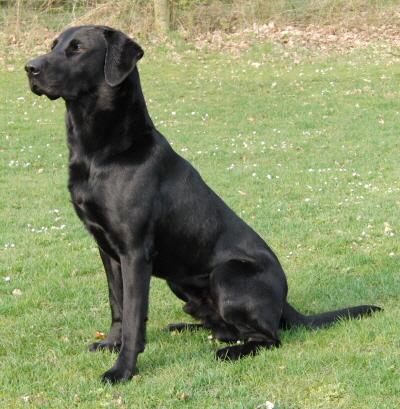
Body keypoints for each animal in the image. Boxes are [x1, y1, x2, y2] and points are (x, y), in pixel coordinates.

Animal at [25, 25, 382, 382]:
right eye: (53, 45)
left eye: (78, 48)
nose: (29, 68)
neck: (101, 152)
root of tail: (285, 300)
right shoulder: (106, 248)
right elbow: (118, 306)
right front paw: (111, 344)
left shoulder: (135, 252)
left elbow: (133, 317)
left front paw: (123, 369)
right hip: (181, 281)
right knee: (228, 329)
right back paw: (188, 328)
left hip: (225, 275)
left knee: (269, 337)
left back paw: (230, 351)